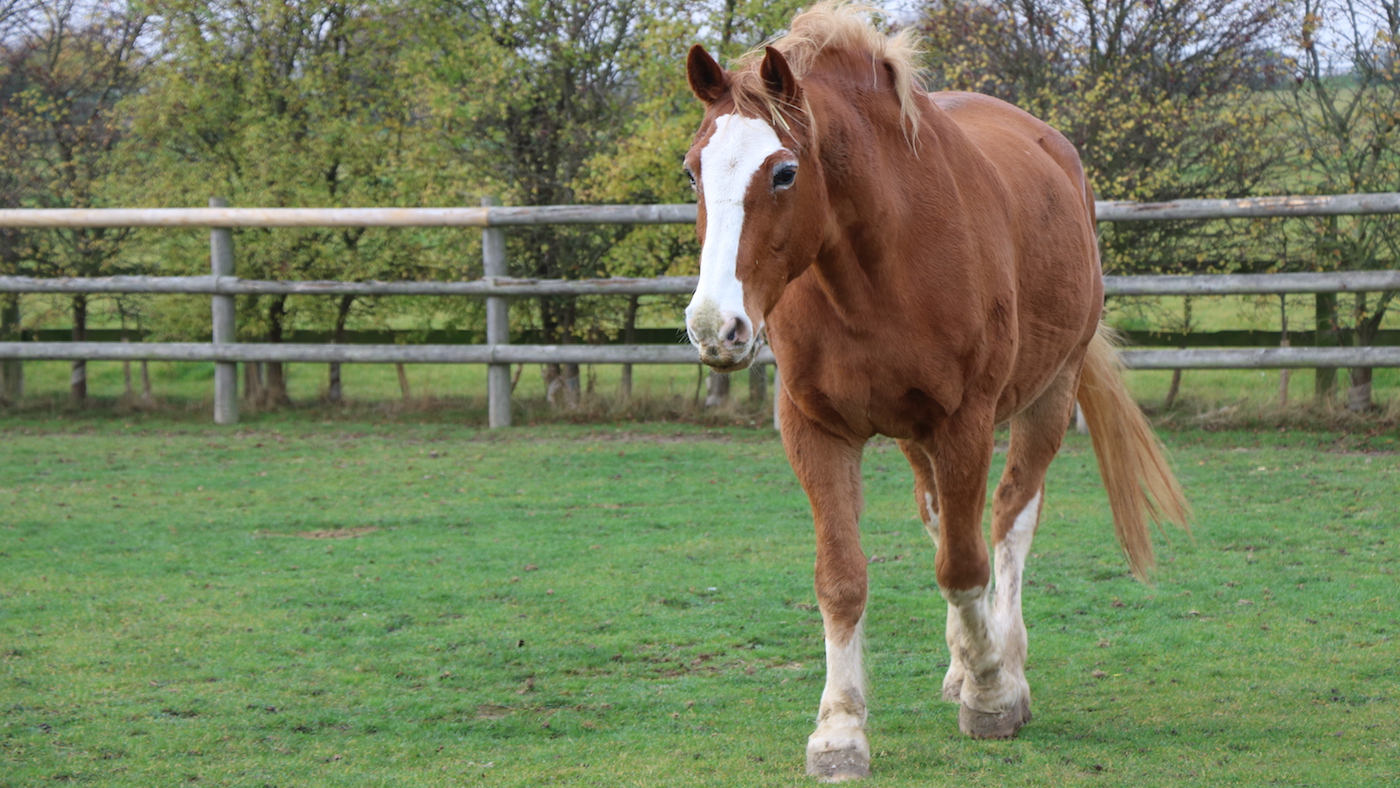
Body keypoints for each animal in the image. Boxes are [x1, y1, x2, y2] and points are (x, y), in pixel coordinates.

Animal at [680, 3, 1190, 781]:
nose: (716, 327)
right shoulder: (816, 429)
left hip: (1048, 395)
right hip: (916, 435)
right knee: (941, 516)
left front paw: (992, 696)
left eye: (785, 172)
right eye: (692, 173)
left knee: (1008, 519)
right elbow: (842, 577)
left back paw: (1006, 661)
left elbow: (965, 563)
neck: (876, 266)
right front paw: (839, 731)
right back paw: (962, 660)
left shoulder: (964, 422)